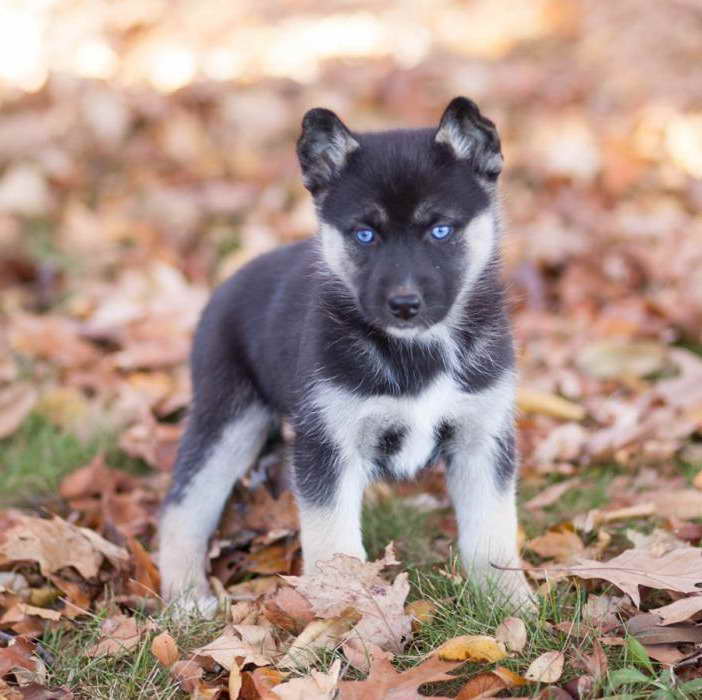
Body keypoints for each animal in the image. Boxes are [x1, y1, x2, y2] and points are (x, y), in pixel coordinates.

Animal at [160, 97, 532, 612]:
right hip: (228, 420)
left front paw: (509, 604)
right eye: (365, 235)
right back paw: (185, 599)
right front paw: (344, 613)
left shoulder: (482, 436)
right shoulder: (328, 444)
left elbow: (491, 532)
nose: (404, 304)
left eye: (440, 230)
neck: (417, 351)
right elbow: (333, 542)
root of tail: (224, 286)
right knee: (183, 507)